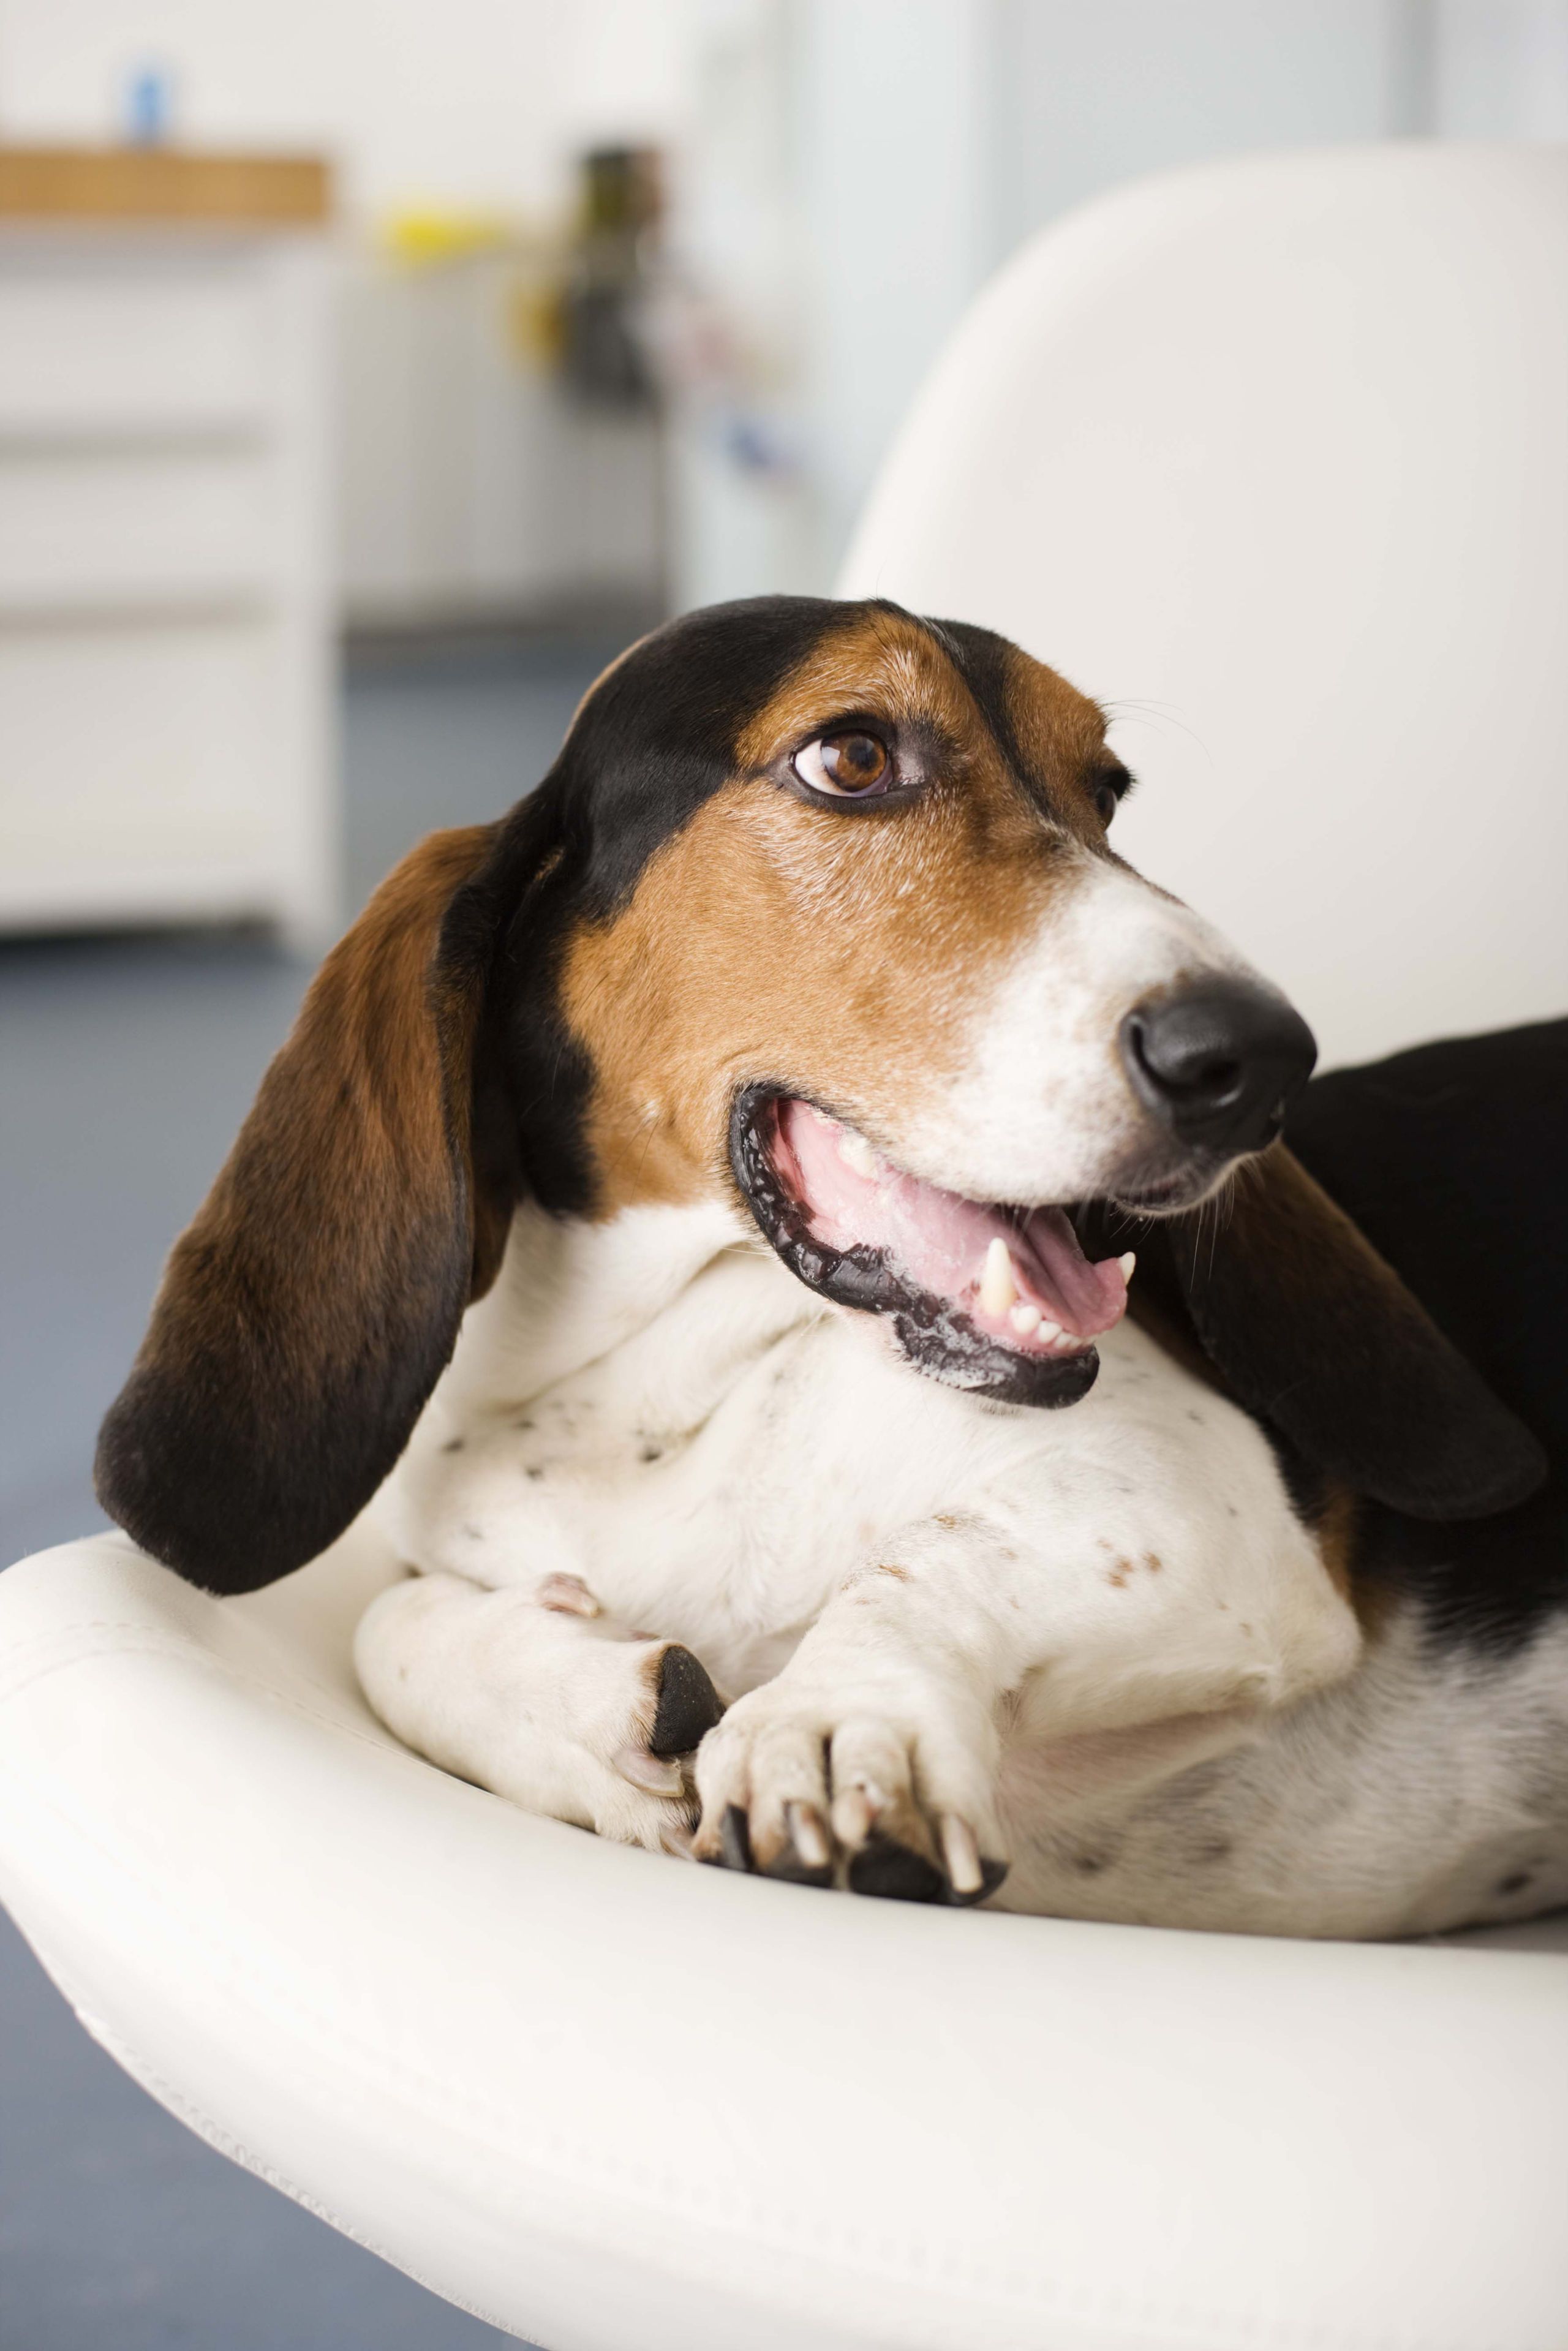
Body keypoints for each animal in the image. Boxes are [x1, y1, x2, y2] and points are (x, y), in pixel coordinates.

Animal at [98, 597, 1568, 1937]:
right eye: (852, 758)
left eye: (1106, 790)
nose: (1260, 1059)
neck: (650, 1402)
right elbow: (386, 1626)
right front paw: (587, 1707)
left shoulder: (1199, 1504)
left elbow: (927, 1556)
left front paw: (840, 1713)